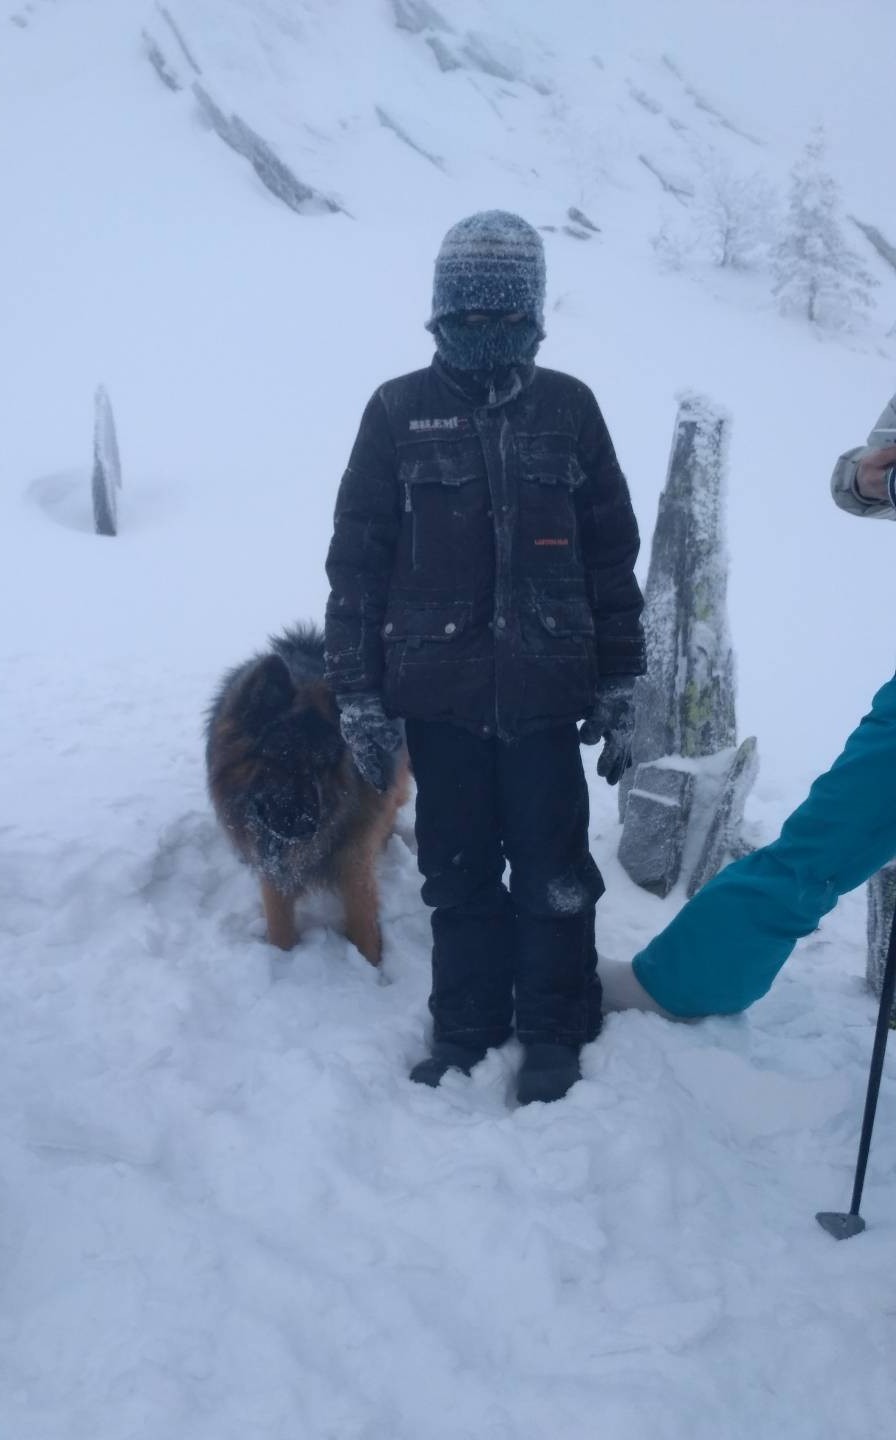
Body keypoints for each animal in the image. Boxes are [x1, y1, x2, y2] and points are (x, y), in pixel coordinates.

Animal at [205, 622, 411, 967]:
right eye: (280, 757)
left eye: (323, 766)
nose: (305, 827)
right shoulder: (273, 862)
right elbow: (280, 925)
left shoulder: (354, 862)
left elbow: (364, 926)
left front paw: (372, 969)